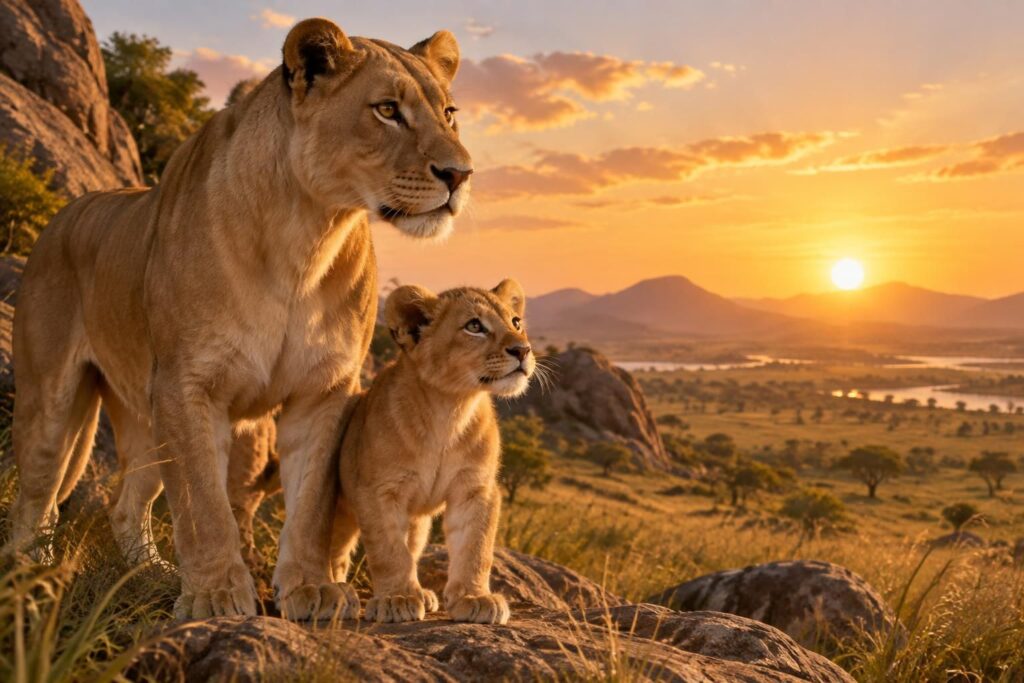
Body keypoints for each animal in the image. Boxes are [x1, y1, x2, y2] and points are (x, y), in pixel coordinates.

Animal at [8, 17, 473, 621]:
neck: (307, 233)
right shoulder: (187, 385)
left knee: (124, 504)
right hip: (53, 399)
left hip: (144, 416)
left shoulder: (323, 391)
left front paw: (309, 589)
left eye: (449, 113)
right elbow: (203, 504)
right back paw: (32, 574)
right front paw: (214, 595)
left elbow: (310, 505)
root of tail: (64, 214)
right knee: (35, 496)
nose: (461, 174)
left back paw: (152, 573)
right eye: (388, 110)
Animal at [334, 279, 535, 624]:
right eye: (474, 326)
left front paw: (474, 598)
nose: (523, 350)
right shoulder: (377, 491)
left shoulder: (475, 488)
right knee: (334, 551)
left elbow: (475, 546)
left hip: (417, 520)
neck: (451, 409)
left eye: (516, 322)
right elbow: (389, 550)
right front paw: (397, 599)